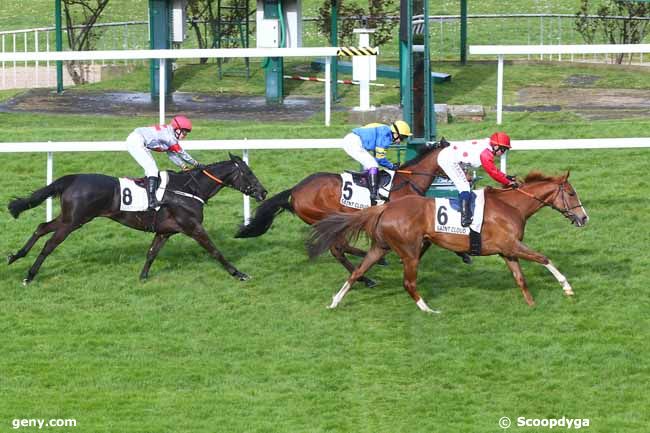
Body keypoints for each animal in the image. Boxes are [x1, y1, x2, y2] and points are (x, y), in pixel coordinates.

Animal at [7, 153, 266, 284]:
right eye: (249, 172)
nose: (263, 192)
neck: (189, 189)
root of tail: (72, 178)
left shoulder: (165, 230)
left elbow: (152, 252)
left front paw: (142, 277)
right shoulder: (193, 227)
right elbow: (215, 251)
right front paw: (238, 273)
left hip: (69, 217)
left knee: (42, 227)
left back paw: (16, 256)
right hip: (74, 221)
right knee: (50, 244)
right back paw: (29, 275)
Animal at [235, 142, 454, 286]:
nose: (463, 177)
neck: (408, 182)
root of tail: (295, 190)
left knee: (341, 247)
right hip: (328, 218)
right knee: (338, 250)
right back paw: (366, 278)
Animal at [308, 170, 588, 312]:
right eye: (571, 193)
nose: (584, 218)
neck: (512, 206)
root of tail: (384, 207)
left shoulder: (507, 251)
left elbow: (520, 278)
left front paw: (531, 305)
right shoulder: (511, 245)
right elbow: (544, 258)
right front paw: (567, 287)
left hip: (381, 247)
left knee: (356, 272)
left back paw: (335, 301)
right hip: (410, 251)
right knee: (408, 282)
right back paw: (428, 309)